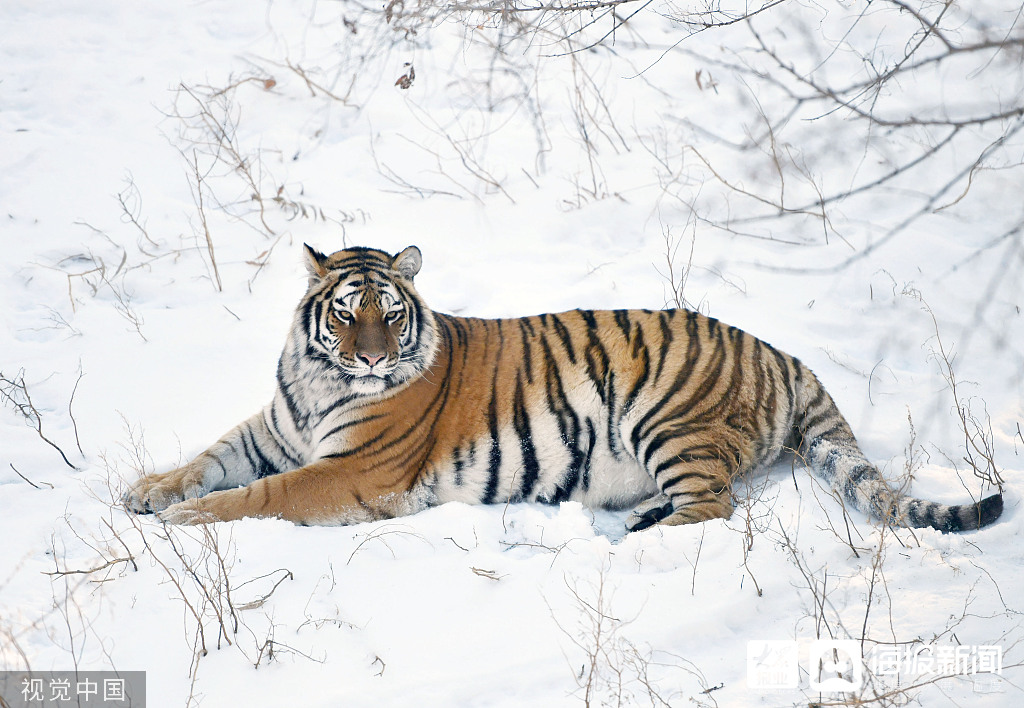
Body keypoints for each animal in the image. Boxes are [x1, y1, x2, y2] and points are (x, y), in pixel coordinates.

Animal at [123, 243, 1003, 532]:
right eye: (344, 312)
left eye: (389, 314)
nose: (370, 361)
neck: (317, 379)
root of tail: (784, 355)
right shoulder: (272, 429)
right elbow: (208, 459)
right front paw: (148, 491)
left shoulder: (354, 470)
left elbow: (261, 494)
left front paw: (189, 520)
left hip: (666, 418)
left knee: (714, 507)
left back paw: (634, 538)